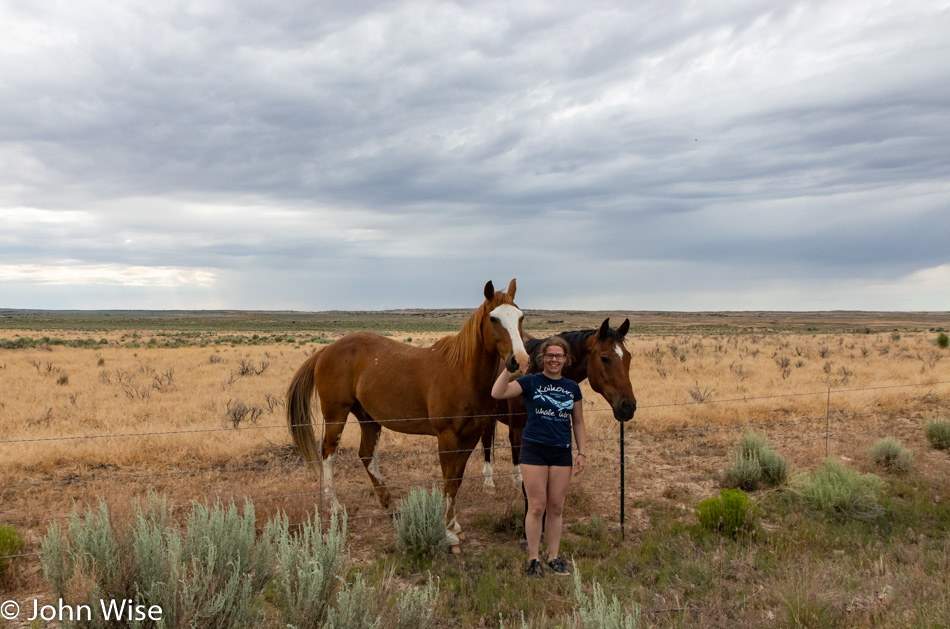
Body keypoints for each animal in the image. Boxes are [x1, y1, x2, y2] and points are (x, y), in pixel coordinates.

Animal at [286, 280, 532, 544]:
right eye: (494, 318)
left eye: (520, 317)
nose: (520, 361)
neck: (461, 372)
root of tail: (326, 350)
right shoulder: (447, 438)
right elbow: (449, 482)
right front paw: (448, 531)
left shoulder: (470, 437)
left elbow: (457, 480)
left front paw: (454, 525)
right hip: (336, 415)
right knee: (328, 455)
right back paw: (335, 506)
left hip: (368, 418)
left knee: (367, 455)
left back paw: (389, 504)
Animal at [484, 318, 640, 486]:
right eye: (604, 358)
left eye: (629, 358)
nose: (628, 406)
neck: (535, 369)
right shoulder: (519, 428)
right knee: (487, 441)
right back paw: (488, 481)